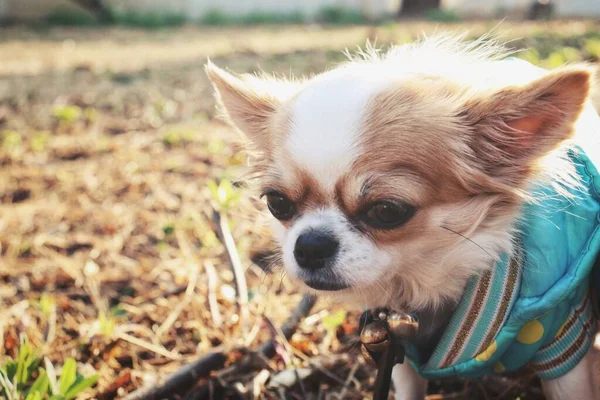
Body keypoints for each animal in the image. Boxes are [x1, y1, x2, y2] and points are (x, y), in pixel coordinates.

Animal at [206, 35, 600, 400]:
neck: (423, 285)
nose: (311, 245)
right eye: (278, 203)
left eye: (387, 210)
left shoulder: (562, 339)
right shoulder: (396, 349)